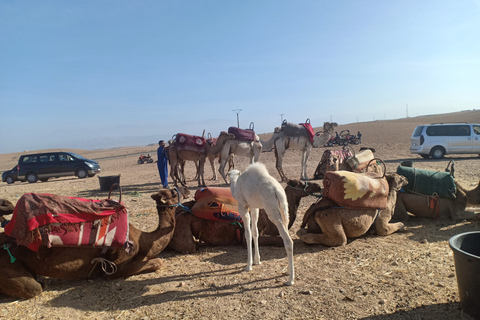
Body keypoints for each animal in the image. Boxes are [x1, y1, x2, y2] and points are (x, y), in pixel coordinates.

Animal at [0, 188, 188, 300]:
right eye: (173, 192)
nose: (183, 190)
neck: (141, 239)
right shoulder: (116, 264)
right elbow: (158, 262)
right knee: (34, 287)